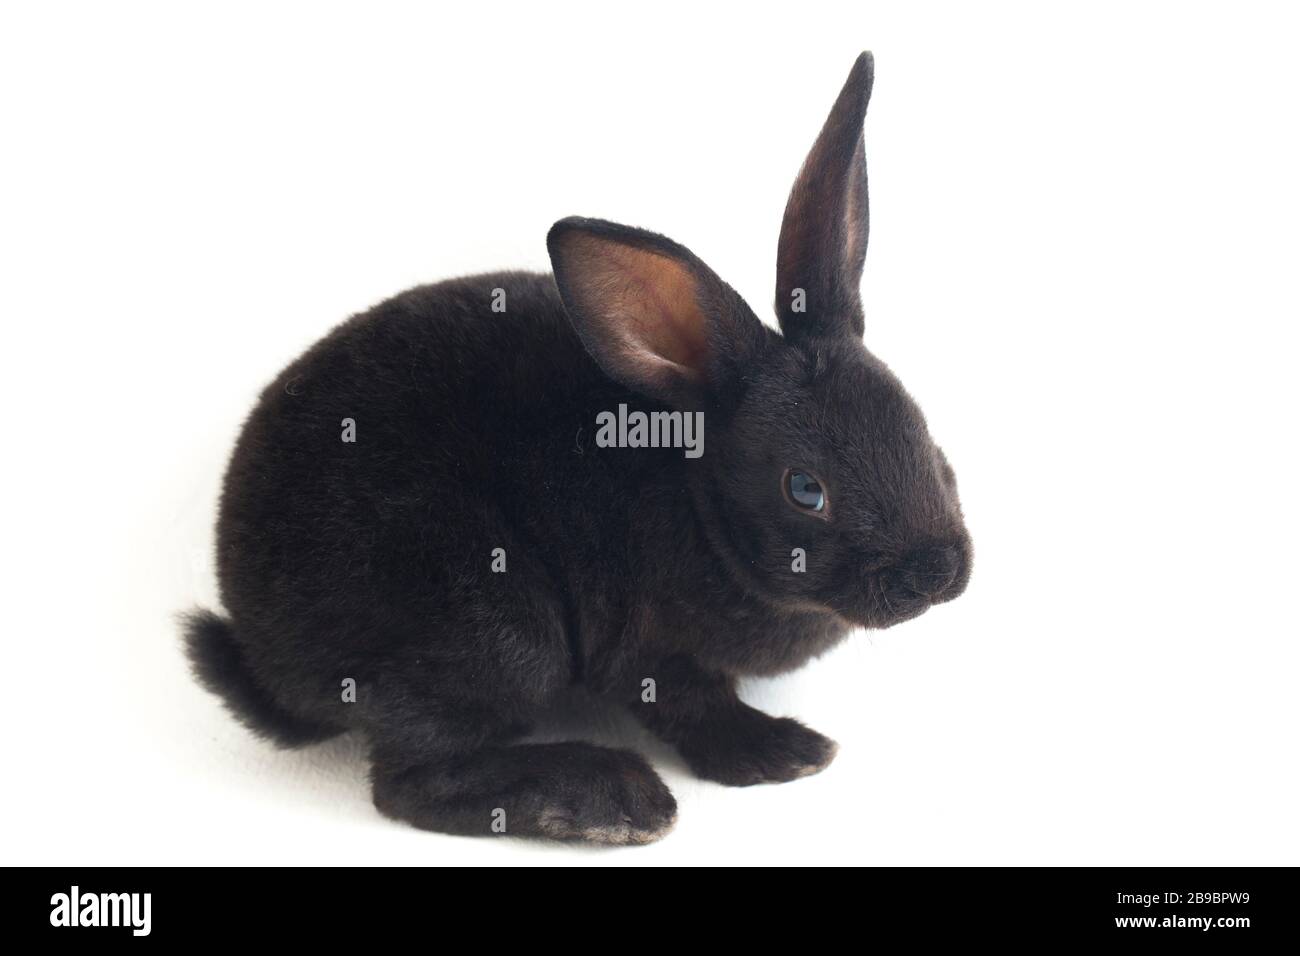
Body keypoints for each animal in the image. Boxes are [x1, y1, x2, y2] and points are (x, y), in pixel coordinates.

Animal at [183, 51, 971, 845]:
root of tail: (263, 656)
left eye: (925, 432)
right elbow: (695, 708)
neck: (700, 503)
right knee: (409, 780)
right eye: (805, 490)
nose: (938, 571)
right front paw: (783, 753)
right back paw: (615, 800)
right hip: (494, 625)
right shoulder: (651, 652)